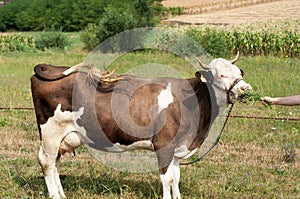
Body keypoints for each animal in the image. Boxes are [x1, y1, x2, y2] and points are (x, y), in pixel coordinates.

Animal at [30, 52, 252, 198]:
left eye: (239, 72)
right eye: (220, 75)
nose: (244, 88)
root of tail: (51, 68)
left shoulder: (177, 147)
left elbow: (176, 178)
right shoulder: (163, 145)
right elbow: (167, 179)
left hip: (63, 137)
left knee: (56, 163)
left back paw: (61, 195)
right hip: (50, 131)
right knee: (47, 162)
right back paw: (54, 195)